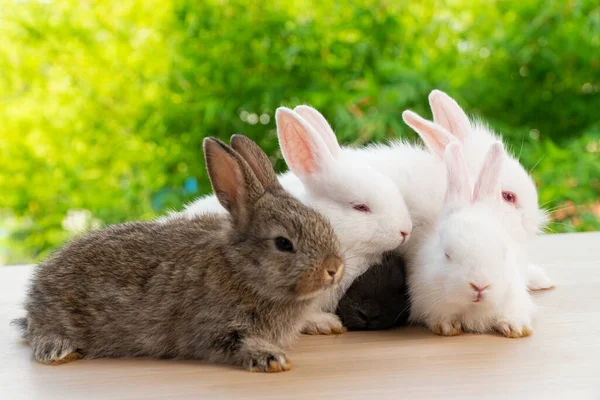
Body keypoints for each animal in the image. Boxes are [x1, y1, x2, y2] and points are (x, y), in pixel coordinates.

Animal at [12, 134, 342, 372]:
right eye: (283, 243)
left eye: (322, 221)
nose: (335, 268)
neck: (241, 268)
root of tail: (36, 287)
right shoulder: (213, 326)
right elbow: (236, 343)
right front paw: (271, 358)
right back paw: (59, 350)